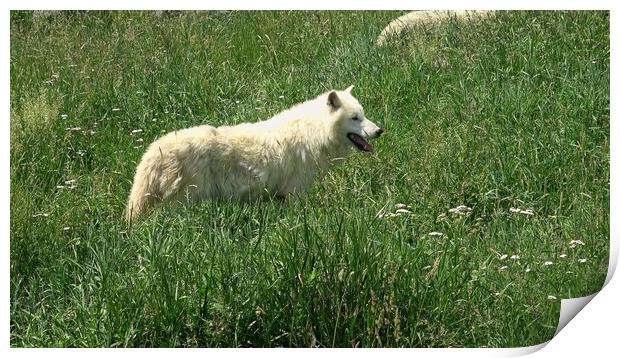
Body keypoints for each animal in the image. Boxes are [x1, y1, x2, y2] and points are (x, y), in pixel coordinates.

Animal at [126, 86, 382, 221]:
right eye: (355, 118)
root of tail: (151, 153)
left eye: (363, 114)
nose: (379, 131)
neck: (313, 131)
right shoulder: (294, 192)